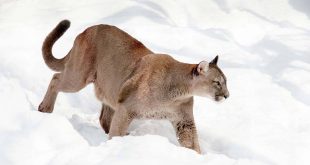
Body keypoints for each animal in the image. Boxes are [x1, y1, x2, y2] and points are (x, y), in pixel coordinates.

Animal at [38, 20, 229, 153]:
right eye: (217, 82)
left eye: (226, 82)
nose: (227, 95)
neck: (178, 92)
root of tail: (86, 30)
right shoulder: (126, 108)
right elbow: (117, 129)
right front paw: (114, 148)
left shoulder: (184, 121)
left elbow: (192, 144)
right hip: (79, 76)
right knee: (56, 79)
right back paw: (44, 109)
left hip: (110, 90)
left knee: (104, 117)